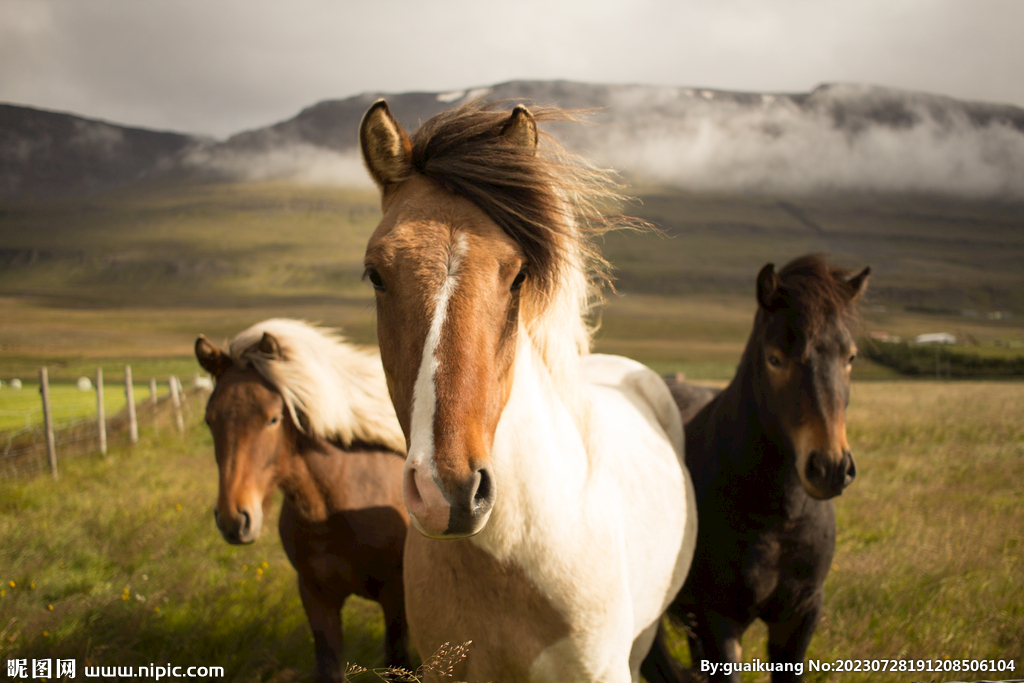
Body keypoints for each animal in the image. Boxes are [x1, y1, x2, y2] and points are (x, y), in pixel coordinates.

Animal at [194, 319, 412, 682]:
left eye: (272, 418)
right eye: (210, 420)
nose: (233, 519)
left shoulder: (396, 597)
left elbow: (400, 662)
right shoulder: (316, 596)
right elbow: (329, 666)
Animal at [641, 254, 870, 683]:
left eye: (850, 357)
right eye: (775, 358)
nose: (830, 467)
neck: (779, 517)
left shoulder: (800, 615)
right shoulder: (719, 620)